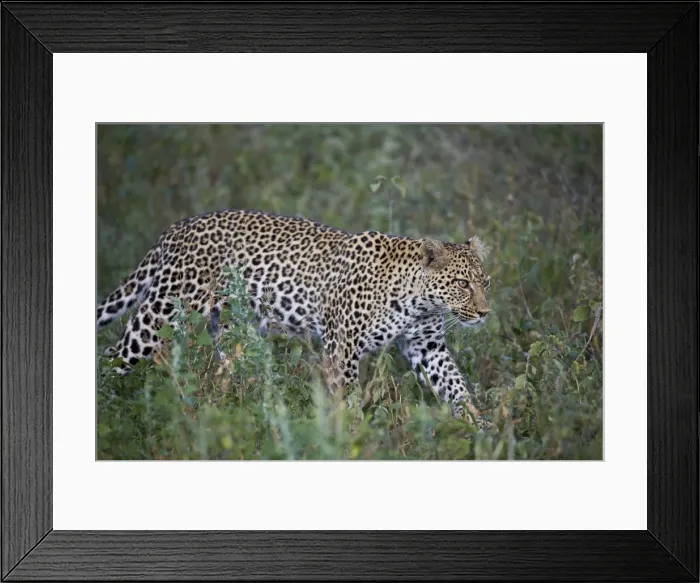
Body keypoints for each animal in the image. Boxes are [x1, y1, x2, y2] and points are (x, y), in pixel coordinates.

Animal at [97, 209, 492, 427]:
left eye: (485, 282)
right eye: (462, 284)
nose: (485, 313)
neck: (418, 301)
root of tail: (175, 229)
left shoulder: (428, 347)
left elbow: (456, 386)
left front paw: (481, 428)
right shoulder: (343, 346)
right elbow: (348, 397)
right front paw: (352, 434)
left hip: (226, 330)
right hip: (159, 315)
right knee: (112, 356)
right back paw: (108, 412)